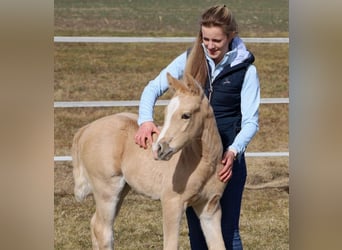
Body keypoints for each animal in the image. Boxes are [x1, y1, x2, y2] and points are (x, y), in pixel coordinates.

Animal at [72, 73, 227, 249]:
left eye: (186, 115)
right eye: (166, 113)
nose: (158, 148)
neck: (203, 163)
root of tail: (86, 129)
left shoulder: (210, 208)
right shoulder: (172, 203)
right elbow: (170, 245)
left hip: (121, 190)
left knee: (95, 224)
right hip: (107, 191)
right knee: (103, 230)